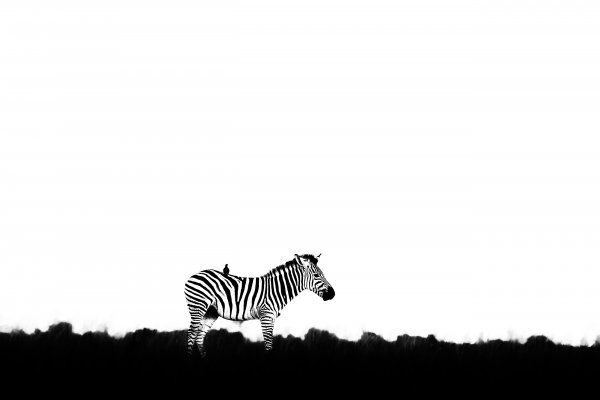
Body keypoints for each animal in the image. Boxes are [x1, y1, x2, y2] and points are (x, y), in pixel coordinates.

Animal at [183, 253, 336, 356]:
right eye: (317, 275)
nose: (332, 294)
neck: (277, 289)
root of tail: (193, 276)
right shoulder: (266, 316)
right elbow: (268, 344)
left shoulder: (271, 317)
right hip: (198, 306)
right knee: (191, 333)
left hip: (210, 312)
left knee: (199, 336)